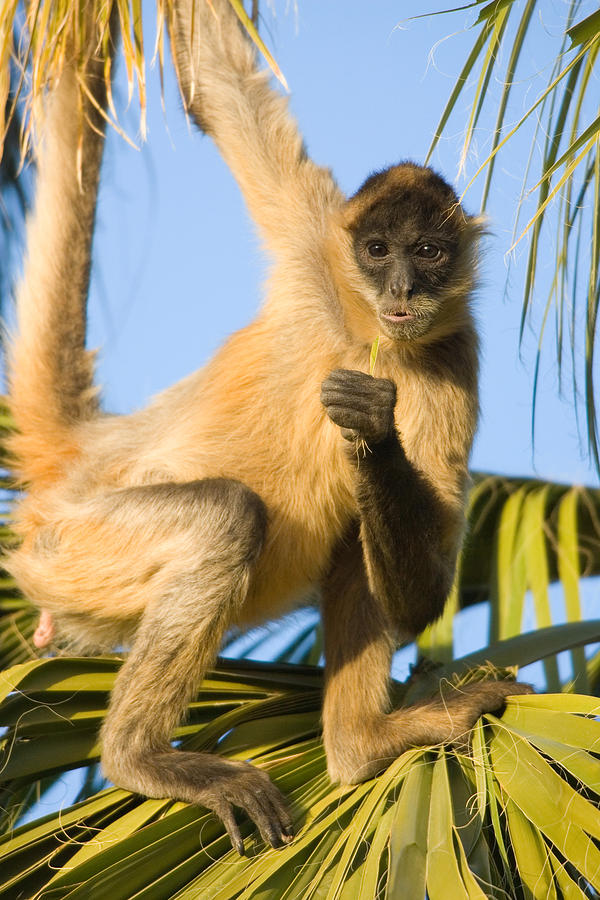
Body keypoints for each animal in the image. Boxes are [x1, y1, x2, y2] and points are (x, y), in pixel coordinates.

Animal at [5, 0, 532, 855]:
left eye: (428, 252)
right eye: (377, 249)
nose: (401, 289)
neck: (362, 331)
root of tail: (93, 454)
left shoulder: (456, 356)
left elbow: (422, 593)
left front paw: (373, 433)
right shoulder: (315, 239)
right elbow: (215, 81)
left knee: (352, 541)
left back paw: (360, 748)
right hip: (74, 548)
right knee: (229, 514)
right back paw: (138, 759)